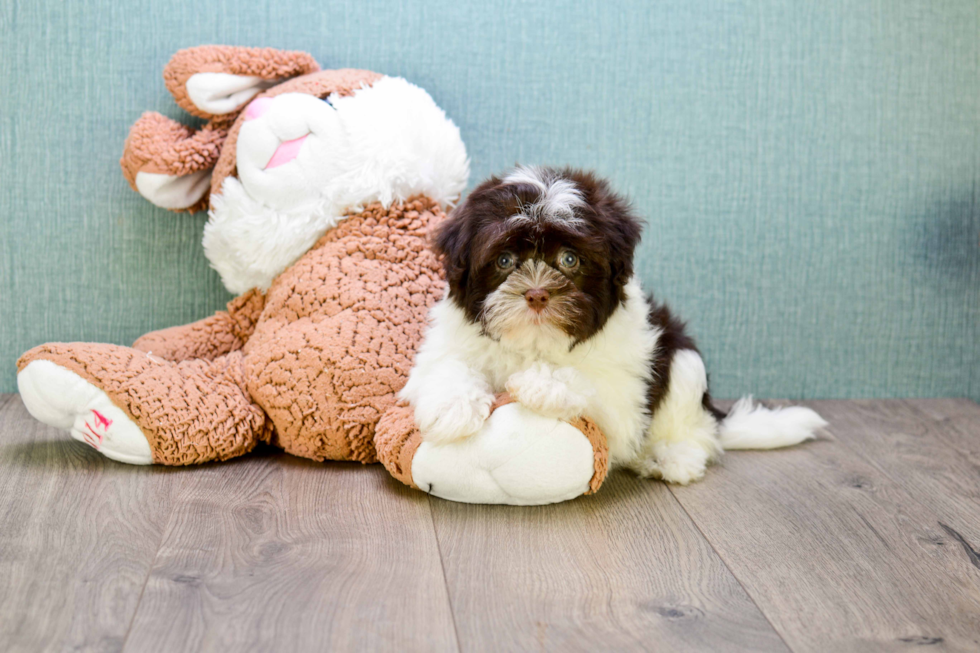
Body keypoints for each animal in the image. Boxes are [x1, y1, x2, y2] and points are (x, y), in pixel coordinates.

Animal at [400, 167, 828, 484]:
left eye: (570, 259)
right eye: (504, 261)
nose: (536, 294)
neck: (536, 343)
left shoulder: (626, 397)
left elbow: (591, 383)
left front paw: (540, 383)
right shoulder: (446, 345)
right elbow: (446, 366)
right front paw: (451, 409)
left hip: (684, 360)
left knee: (695, 427)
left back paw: (670, 457)